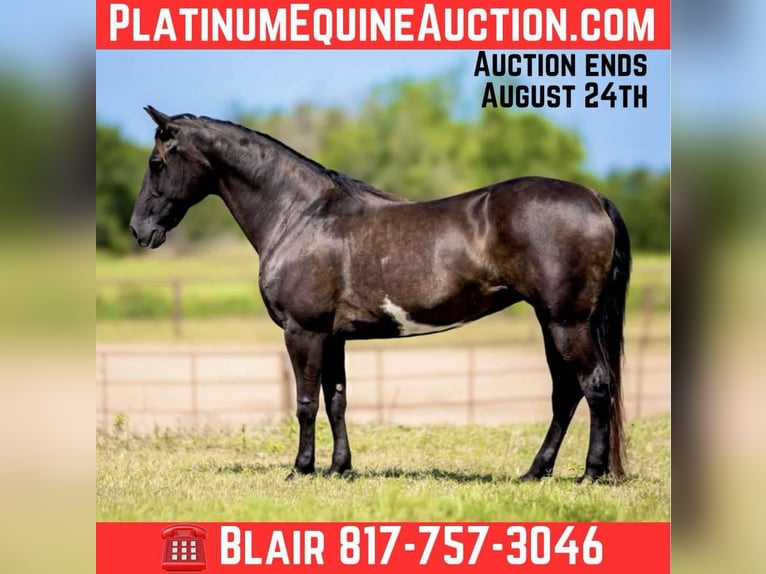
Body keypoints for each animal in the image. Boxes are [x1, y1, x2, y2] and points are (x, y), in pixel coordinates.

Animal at [129, 106, 631, 482]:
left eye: (156, 163)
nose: (139, 229)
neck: (301, 215)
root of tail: (594, 198)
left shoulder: (303, 332)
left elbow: (306, 403)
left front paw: (301, 469)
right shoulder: (332, 337)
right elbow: (336, 400)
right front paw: (339, 468)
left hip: (566, 322)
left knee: (593, 384)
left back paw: (590, 474)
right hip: (553, 322)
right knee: (566, 391)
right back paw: (535, 472)